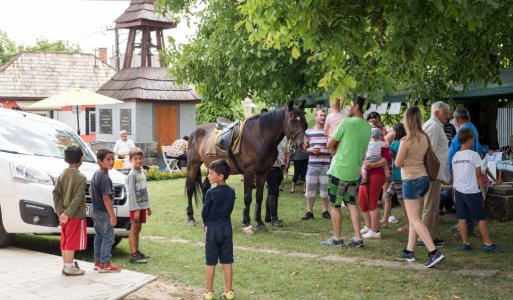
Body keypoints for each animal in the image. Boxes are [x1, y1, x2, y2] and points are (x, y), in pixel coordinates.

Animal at [184, 101, 304, 232]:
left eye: (303, 120)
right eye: (292, 120)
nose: (302, 144)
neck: (260, 137)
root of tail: (194, 133)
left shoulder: (263, 173)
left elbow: (259, 197)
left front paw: (260, 222)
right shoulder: (249, 172)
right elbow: (248, 197)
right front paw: (247, 222)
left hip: (212, 168)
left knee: (205, 186)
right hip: (193, 165)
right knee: (190, 189)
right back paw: (190, 217)